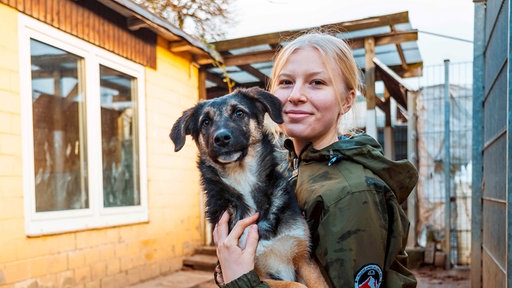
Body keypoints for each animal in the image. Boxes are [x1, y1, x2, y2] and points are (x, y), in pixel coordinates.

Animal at [170, 86, 326, 286]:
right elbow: (294, 284)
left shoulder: (305, 259)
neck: (242, 178)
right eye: (205, 122)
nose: (221, 138)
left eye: (239, 113)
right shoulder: (256, 273)